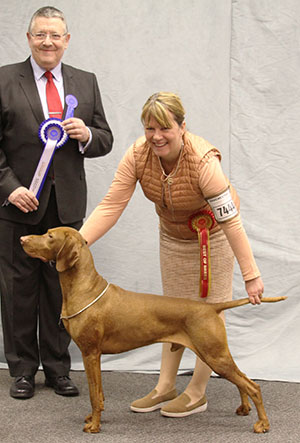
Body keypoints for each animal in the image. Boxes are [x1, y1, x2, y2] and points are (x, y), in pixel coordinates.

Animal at [20, 227, 286, 436]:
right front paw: (94, 417)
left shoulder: (90, 353)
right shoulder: (94, 356)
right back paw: (244, 408)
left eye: (49, 235)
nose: (22, 238)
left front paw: (94, 425)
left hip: (214, 354)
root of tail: (211, 307)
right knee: (243, 379)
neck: (84, 288)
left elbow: (94, 394)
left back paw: (263, 424)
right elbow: (100, 394)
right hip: (215, 354)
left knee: (253, 386)